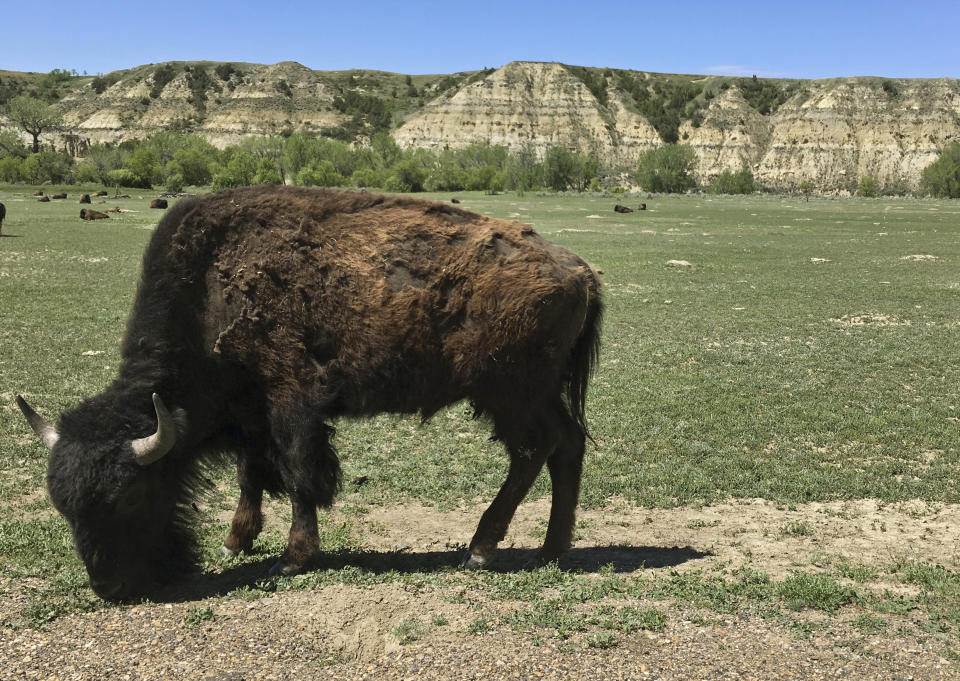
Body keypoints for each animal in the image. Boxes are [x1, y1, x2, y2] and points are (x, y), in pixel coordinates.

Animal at [18, 186, 604, 600]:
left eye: (132, 495)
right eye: (64, 508)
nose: (110, 587)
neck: (209, 290)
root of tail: (581, 271)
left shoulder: (291, 402)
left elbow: (299, 475)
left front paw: (293, 558)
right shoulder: (251, 413)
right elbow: (253, 474)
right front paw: (235, 541)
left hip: (508, 394)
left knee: (532, 451)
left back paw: (481, 550)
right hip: (537, 394)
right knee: (567, 446)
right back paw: (552, 550)